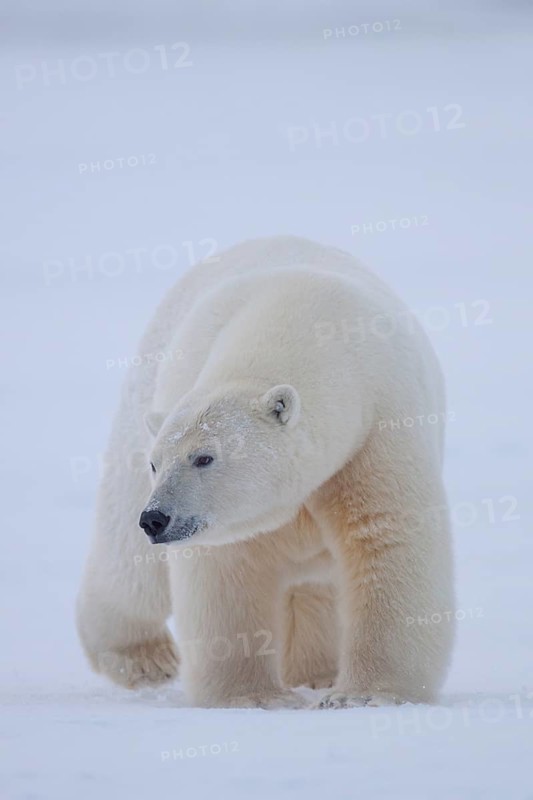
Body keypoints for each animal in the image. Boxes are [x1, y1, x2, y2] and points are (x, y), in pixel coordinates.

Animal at [76, 235, 455, 709]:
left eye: (204, 457)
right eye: (156, 462)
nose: (156, 518)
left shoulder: (378, 426)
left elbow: (387, 535)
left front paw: (362, 694)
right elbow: (225, 569)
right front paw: (253, 697)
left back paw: (315, 673)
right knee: (131, 566)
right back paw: (144, 658)